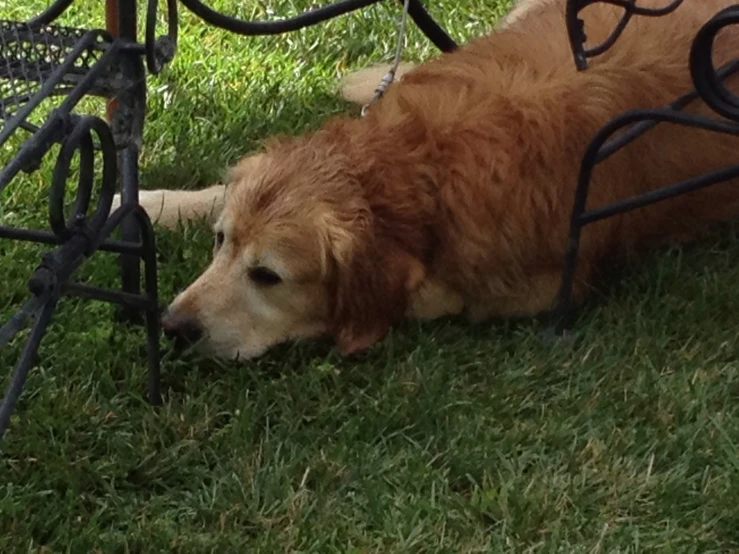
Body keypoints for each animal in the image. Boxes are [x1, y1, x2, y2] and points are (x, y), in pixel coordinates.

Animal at [120, 0, 739, 358]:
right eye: (220, 243)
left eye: (267, 276)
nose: (173, 326)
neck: (419, 163)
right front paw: (154, 202)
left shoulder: (528, 287)